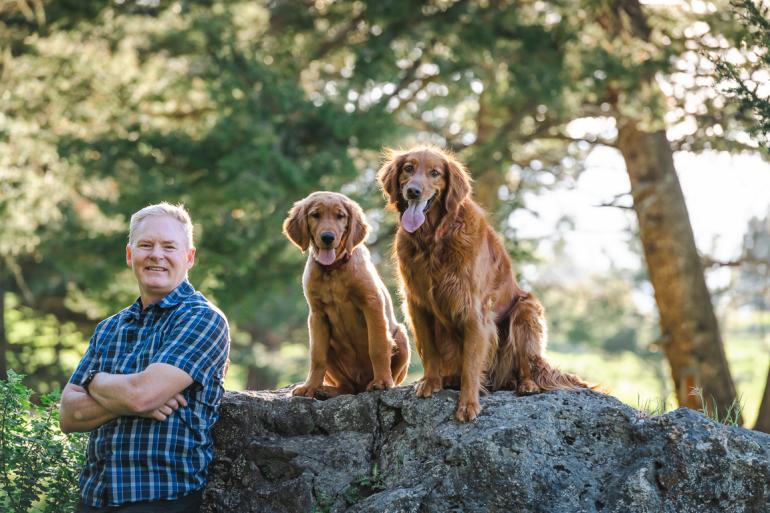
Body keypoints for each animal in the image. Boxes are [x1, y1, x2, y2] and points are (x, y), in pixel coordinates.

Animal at [282, 192, 412, 396]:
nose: (327, 237)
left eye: (340, 216)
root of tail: (360, 388)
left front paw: (382, 382)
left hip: (401, 336)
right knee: (346, 387)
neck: (333, 270)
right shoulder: (317, 315)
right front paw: (310, 387)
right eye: (315, 215)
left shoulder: (372, 304)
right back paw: (325, 390)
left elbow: (378, 346)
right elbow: (317, 356)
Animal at [376, 147, 584, 420]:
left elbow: (471, 364)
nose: (413, 191)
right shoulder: (417, 304)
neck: (433, 240)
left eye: (435, 173)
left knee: (527, 363)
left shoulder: (473, 310)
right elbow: (429, 350)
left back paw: (527, 384)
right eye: (409, 168)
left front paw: (468, 404)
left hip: (526, 311)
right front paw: (431, 382)